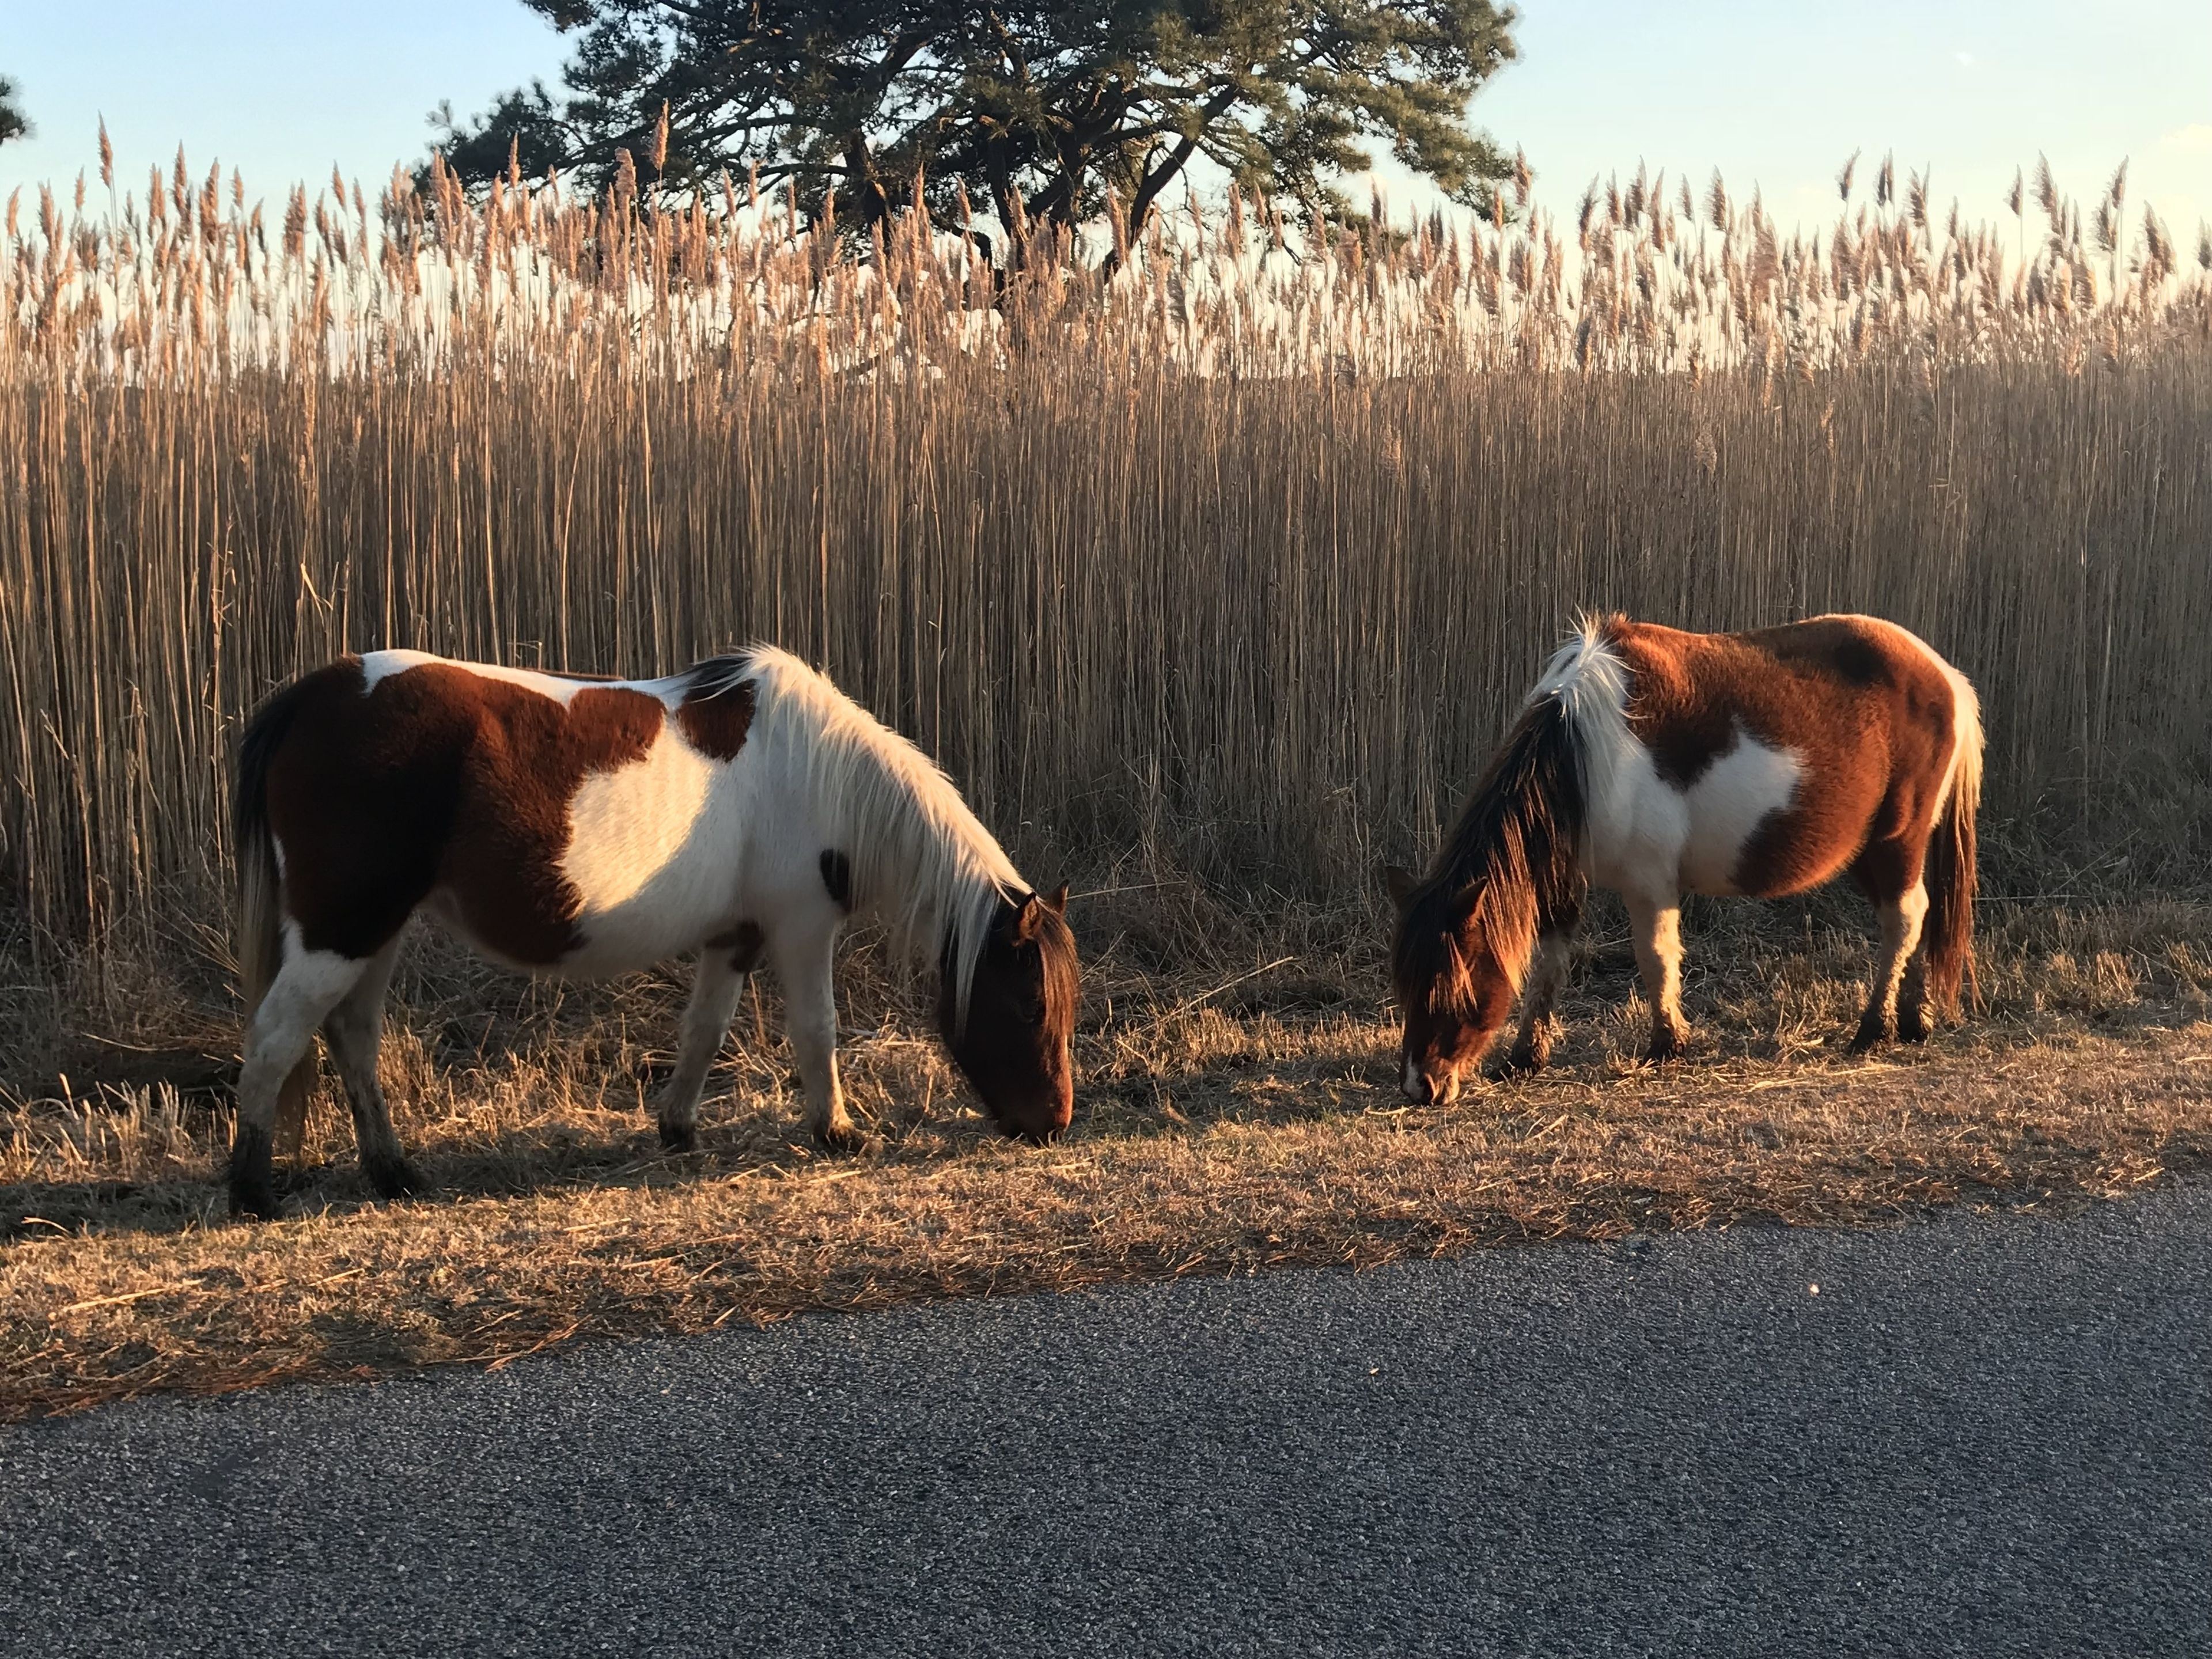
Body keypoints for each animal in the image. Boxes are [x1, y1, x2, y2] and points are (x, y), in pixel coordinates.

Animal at [226, 645, 1079, 1219]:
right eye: (1031, 1006)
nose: (1054, 1124)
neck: (817, 770)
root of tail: (307, 699)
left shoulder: (737, 935)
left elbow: (705, 1029)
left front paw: (677, 1128)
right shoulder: (800, 926)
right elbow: (817, 1030)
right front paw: (837, 1130)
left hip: (374, 930)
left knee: (352, 1037)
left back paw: (393, 1173)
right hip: (343, 928)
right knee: (274, 1038)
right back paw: (252, 1190)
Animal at [1384, 614, 1983, 1102]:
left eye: (1453, 984)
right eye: (1406, 982)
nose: (1422, 1086)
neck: (1588, 750)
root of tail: (1944, 674)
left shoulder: (1649, 881)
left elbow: (1655, 957)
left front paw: (1665, 1044)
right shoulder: (1563, 877)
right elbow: (1549, 964)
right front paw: (1525, 1058)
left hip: (1896, 840)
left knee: (1903, 918)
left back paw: (1873, 1030)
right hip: (1870, 851)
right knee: (1915, 914)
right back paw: (1913, 1021)